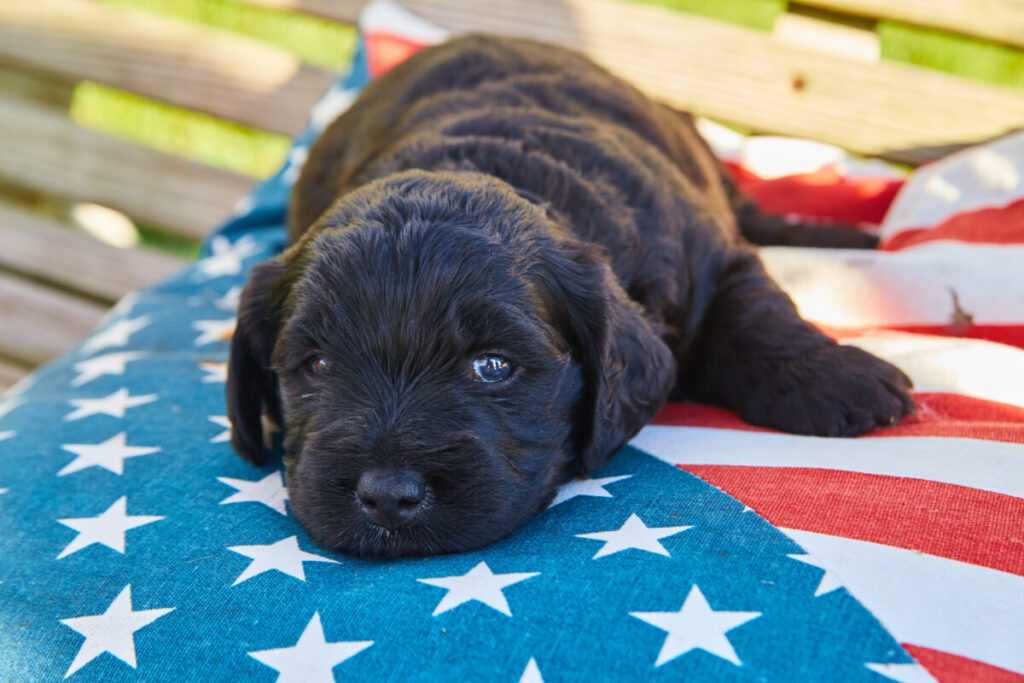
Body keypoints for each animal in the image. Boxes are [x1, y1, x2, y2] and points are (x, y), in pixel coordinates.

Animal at [226, 34, 913, 557]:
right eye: (317, 364)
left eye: (493, 366)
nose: (388, 496)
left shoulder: (710, 255)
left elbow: (756, 313)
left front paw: (837, 380)